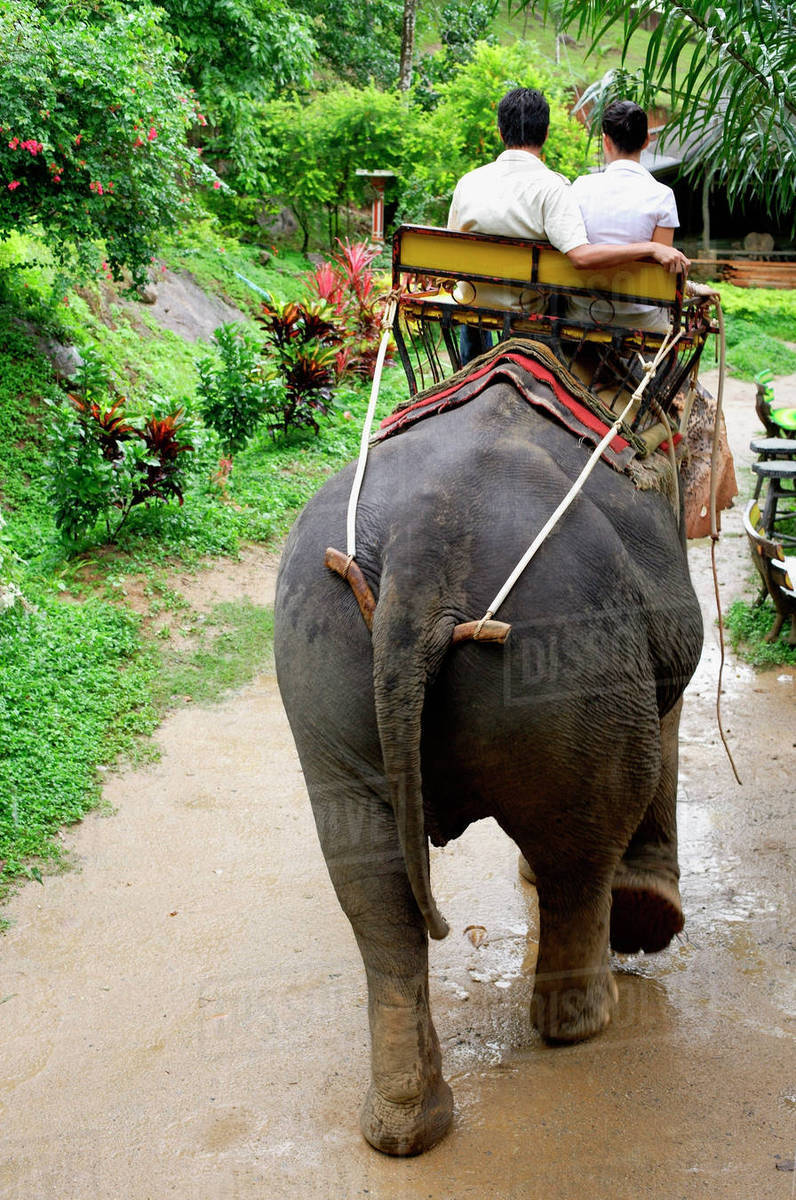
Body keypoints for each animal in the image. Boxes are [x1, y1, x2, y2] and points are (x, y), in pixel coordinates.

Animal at [273, 359, 703, 1156]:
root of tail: (421, 548)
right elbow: (673, 706)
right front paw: (651, 912)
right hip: (574, 654)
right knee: (590, 837)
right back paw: (588, 1018)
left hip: (315, 654)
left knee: (370, 880)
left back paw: (408, 1124)